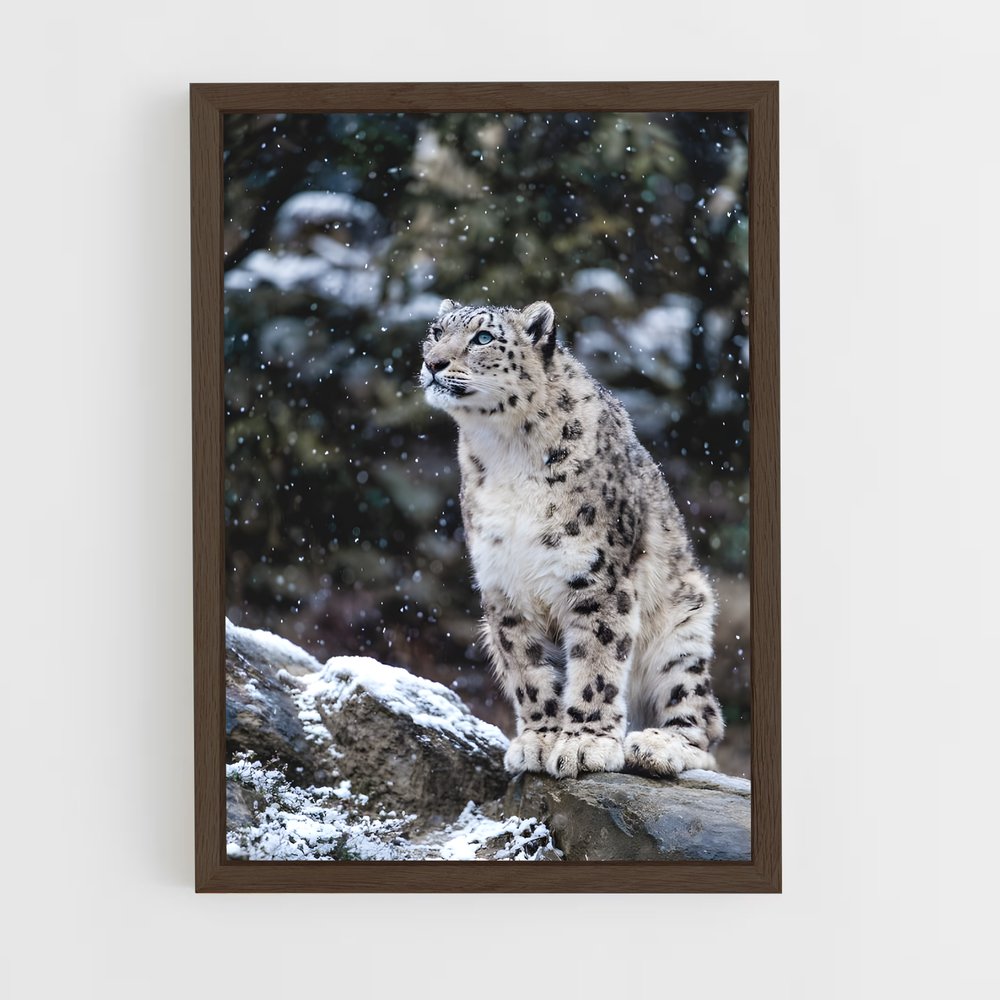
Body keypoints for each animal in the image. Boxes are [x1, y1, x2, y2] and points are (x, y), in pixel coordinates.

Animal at [419, 299, 725, 779]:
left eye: (483, 337)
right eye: (436, 332)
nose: (433, 363)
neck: (506, 454)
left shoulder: (596, 578)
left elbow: (596, 661)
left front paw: (585, 744)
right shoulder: (504, 585)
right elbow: (527, 668)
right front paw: (540, 739)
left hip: (681, 637)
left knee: (702, 722)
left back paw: (656, 746)